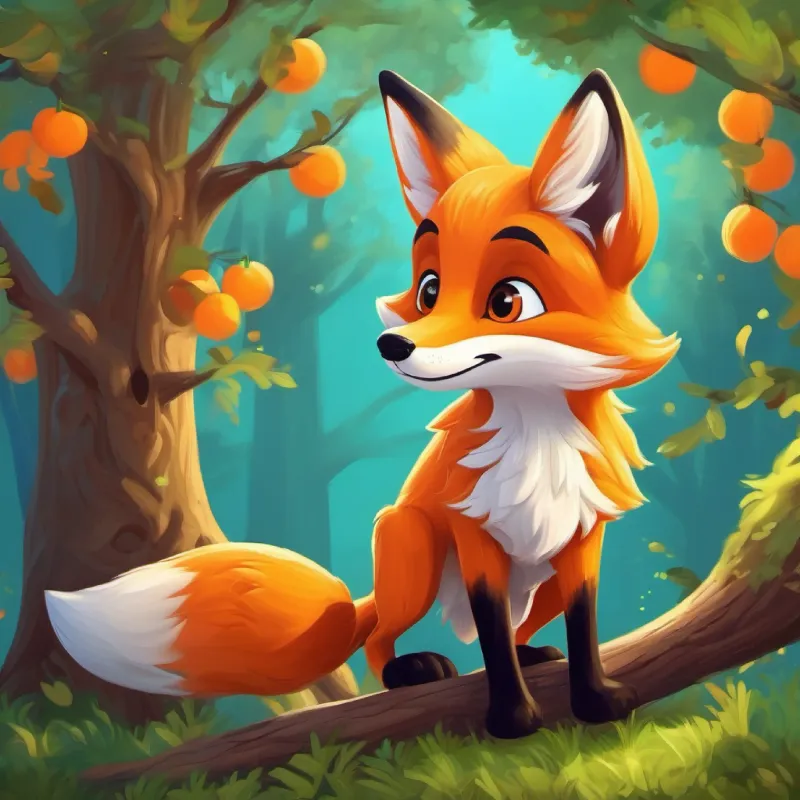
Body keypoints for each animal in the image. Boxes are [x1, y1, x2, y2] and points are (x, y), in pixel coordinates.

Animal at [45, 68, 678, 740]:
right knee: (383, 637)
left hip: (536, 578)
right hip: (411, 541)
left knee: (519, 627)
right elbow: (491, 639)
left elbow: (582, 629)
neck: (537, 438)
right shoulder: (472, 534)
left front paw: (595, 698)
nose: (391, 345)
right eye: (429, 291)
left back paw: (531, 651)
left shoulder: (584, 540)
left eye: (507, 301)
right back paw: (414, 668)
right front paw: (511, 717)